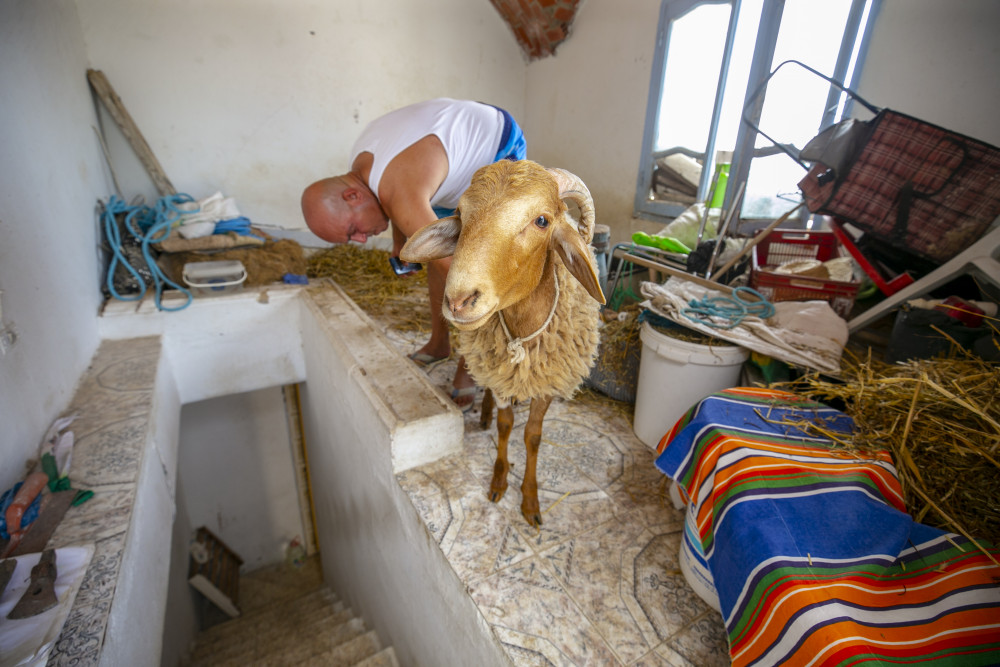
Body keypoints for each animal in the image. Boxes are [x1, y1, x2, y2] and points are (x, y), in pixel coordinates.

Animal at [400, 160, 604, 528]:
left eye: (542, 221)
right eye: (461, 215)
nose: (458, 301)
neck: (522, 331)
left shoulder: (546, 383)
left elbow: (532, 436)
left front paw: (530, 499)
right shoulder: (499, 375)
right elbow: (505, 426)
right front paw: (499, 479)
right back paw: (482, 413)